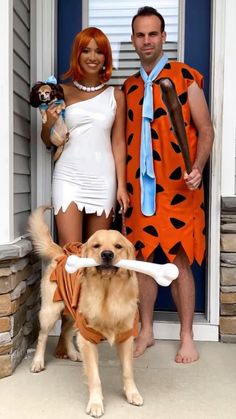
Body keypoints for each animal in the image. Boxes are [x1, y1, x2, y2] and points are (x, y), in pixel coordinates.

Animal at [28, 208, 143, 418]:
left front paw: (133, 394)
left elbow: (128, 371)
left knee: (66, 332)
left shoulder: (125, 337)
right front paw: (96, 404)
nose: (107, 254)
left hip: (73, 314)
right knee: (42, 336)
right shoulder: (88, 337)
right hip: (50, 312)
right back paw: (38, 362)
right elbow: (94, 377)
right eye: (96, 245)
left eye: (118, 246)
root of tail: (62, 253)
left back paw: (73, 353)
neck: (108, 293)